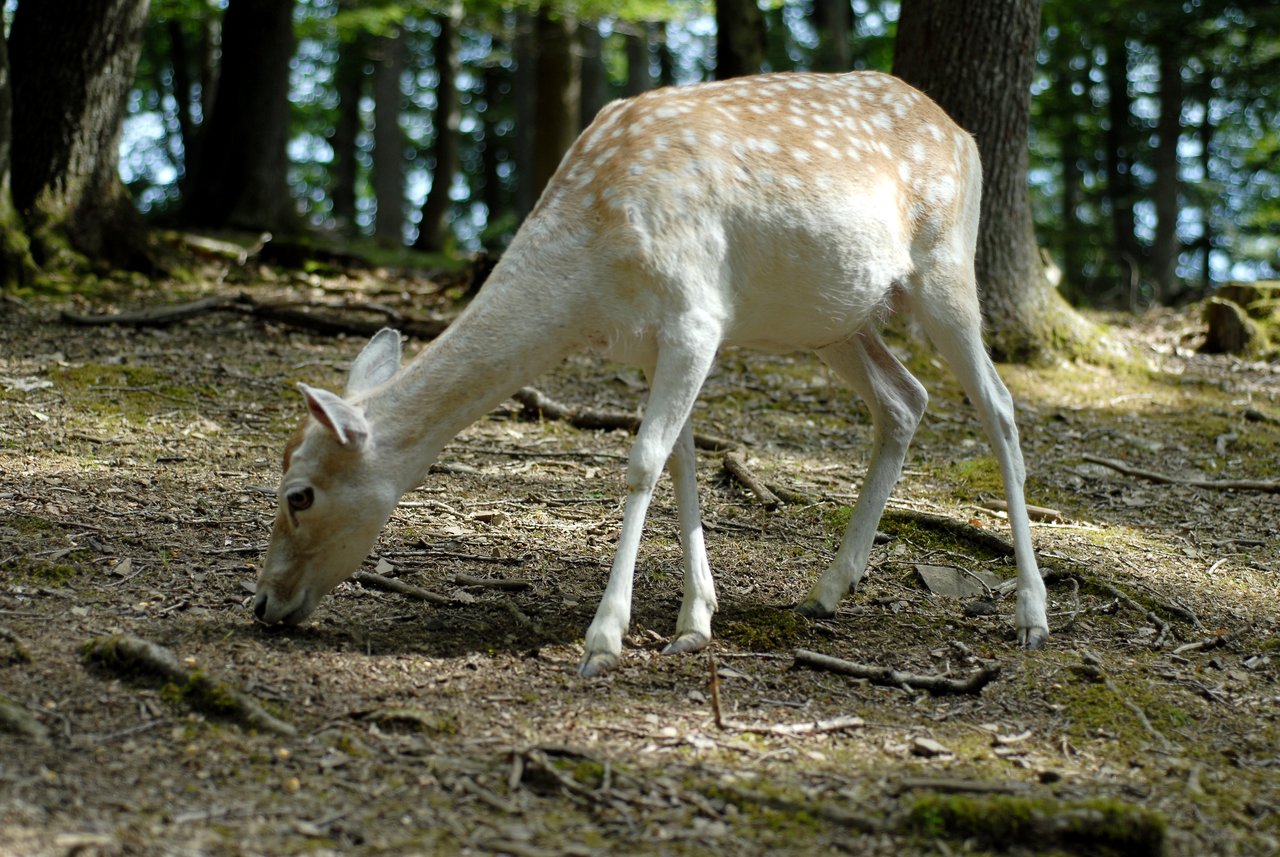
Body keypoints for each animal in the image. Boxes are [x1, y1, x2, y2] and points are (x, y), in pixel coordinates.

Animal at [252, 70, 1049, 676]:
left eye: (300, 495)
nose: (261, 604)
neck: (588, 282)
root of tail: (967, 136)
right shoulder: (650, 345)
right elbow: (682, 467)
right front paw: (695, 622)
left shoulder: (695, 317)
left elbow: (642, 463)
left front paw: (604, 639)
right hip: (836, 318)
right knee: (905, 398)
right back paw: (828, 586)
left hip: (946, 270)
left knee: (1000, 406)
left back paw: (1032, 614)